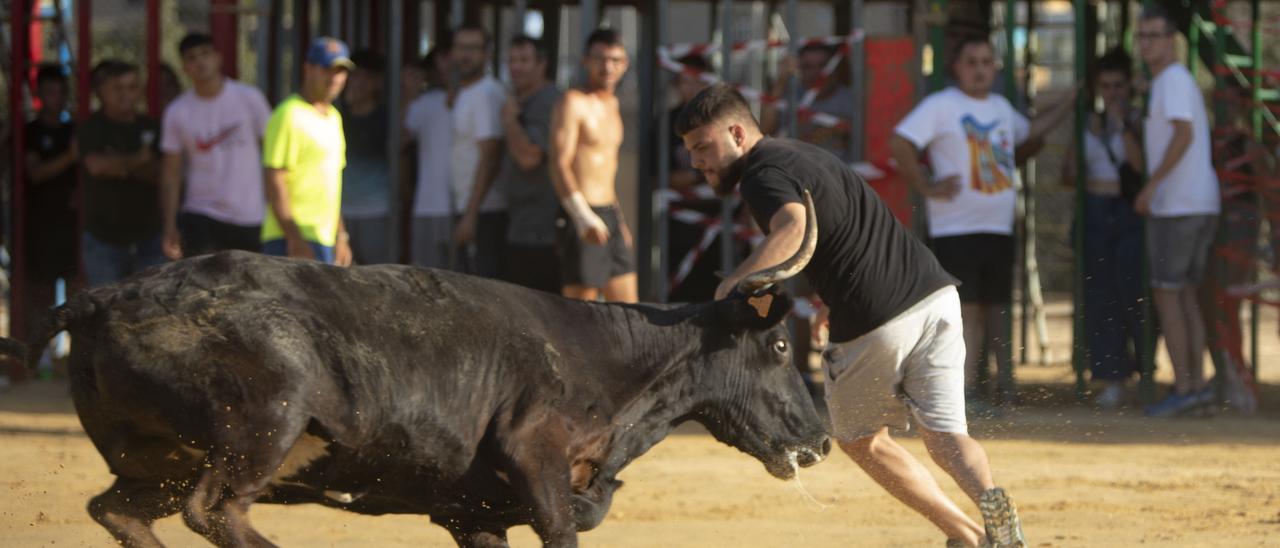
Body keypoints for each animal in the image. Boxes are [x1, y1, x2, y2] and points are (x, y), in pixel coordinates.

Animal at [5, 202, 829, 548]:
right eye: (778, 348)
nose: (821, 442)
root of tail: (101, 297)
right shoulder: (536, 461)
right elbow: (567, 527)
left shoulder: (474, 515)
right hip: (263, 425)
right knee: (214, 511)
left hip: (154, 460)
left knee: (121, 511)